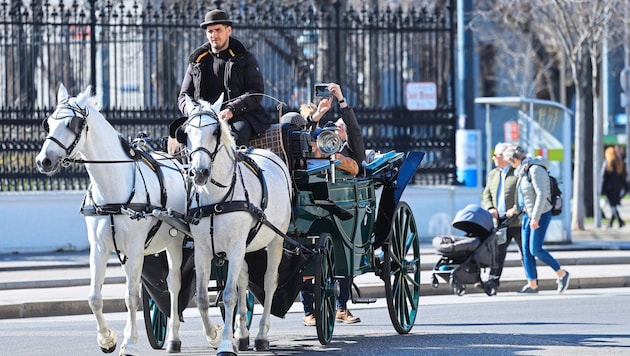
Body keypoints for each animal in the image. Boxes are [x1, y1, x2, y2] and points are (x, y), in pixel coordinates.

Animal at [36, 84, 188, 356]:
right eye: (49, 122)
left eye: (72, 124)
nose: (44, 161)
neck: (113, 189)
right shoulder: (99, 248)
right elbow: (95, 298)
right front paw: (107, 339)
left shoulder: (136, 249)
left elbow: (131, 297)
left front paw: (130, 343)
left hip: (174, 243)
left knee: (174, 285)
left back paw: (175, 337)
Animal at [179, 96, 292, 354]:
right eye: (186, 133)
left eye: (215, 131)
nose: (199, 173)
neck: (215, 199)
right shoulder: (202, 249)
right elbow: (202, 297)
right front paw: (214, 335)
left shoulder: (236, 245)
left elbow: (230, 293)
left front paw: (224, 344)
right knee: (244, 278)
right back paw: (241, 333)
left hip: (275, 239)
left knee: (269, 282)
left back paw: (261, 335)